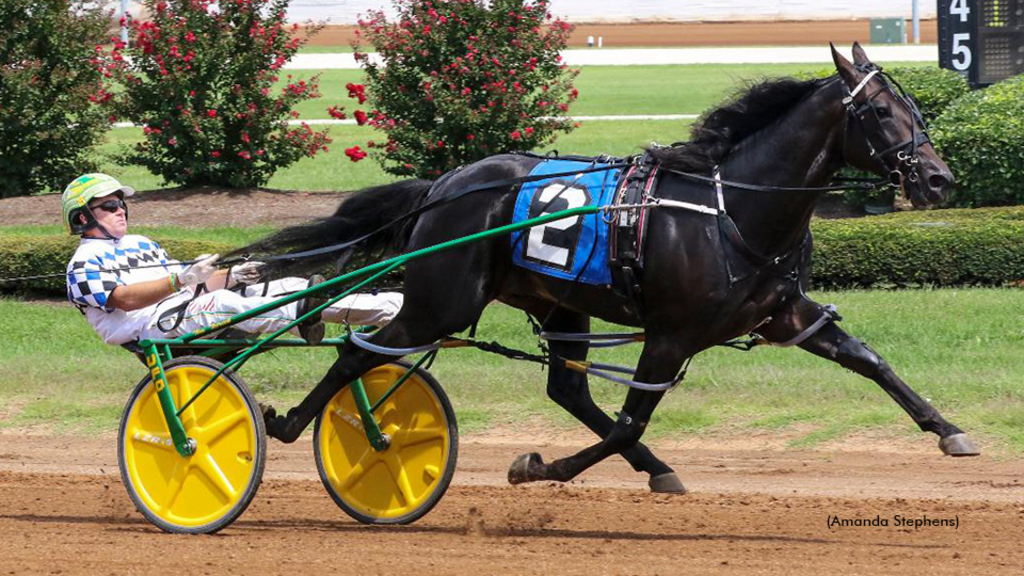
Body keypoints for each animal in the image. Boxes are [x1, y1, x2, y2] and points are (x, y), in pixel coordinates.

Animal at [243, 45, 978, 494]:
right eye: (878, 112)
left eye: (915, 109)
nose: (939, 179)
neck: (731, 208)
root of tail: (444, 185)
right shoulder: (672, 335)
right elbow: (630, 420)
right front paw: (539, 467)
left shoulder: (783, 312)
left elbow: (869, 359)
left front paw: (951, 432)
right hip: (442, 301)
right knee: (357, 351)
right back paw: (286, 424)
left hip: (557, 302)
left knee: (568, 391)